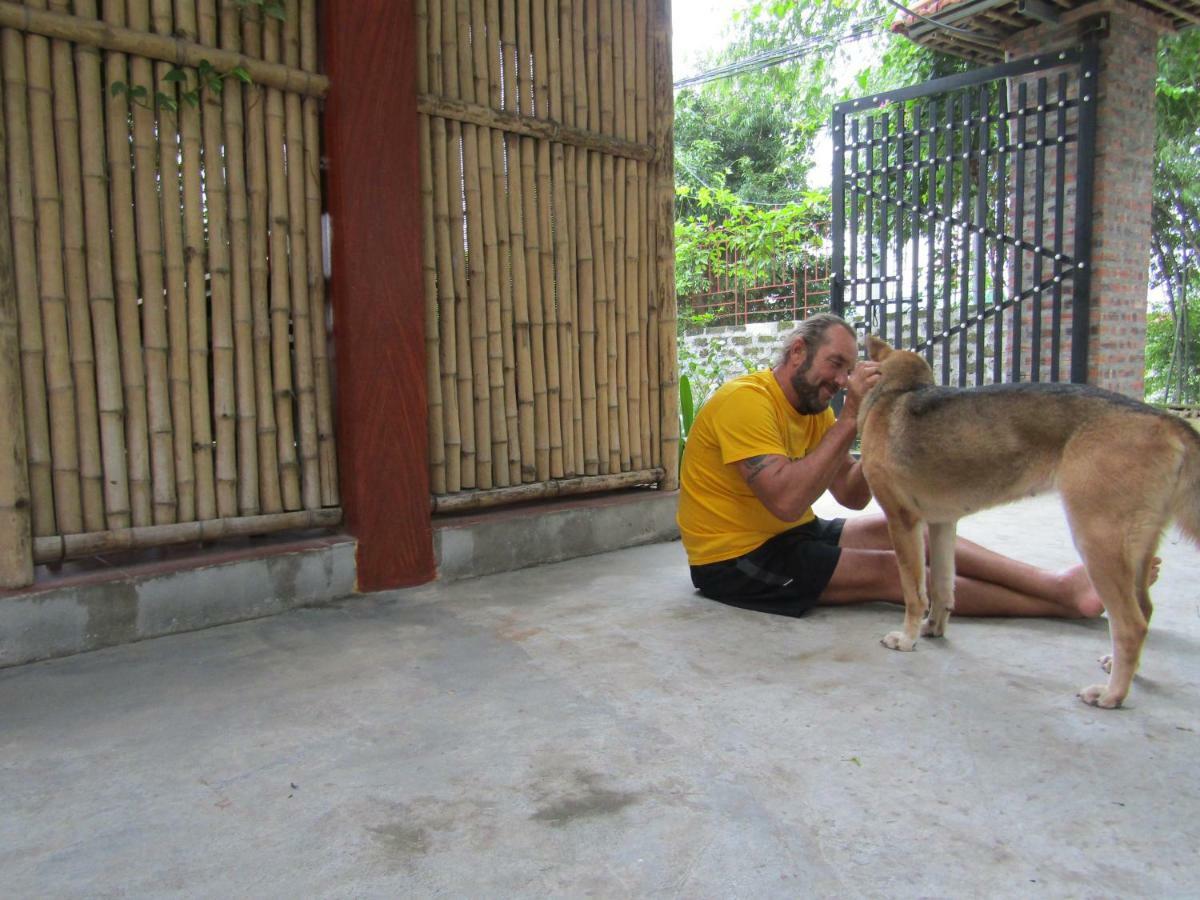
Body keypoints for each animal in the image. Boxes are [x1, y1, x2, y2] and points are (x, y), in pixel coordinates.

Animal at [854, 336, 1200, 710]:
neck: (898, 390)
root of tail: (1166, 419)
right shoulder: (943, 524)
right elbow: (942, 587)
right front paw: (933, 629)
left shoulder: (902, 521)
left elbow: (914, 592)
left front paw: (907, 638)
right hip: (1134, 552)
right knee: (1146, 610)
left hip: (1097, 544)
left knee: (1131, 625)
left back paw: (1111, 694)